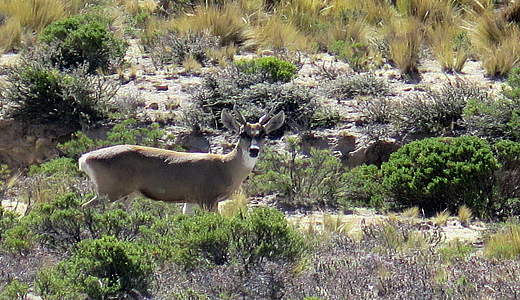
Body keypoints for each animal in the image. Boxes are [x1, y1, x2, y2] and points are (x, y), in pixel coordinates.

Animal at [79, 108, 286, 213]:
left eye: (263, 134)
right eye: (243, 133)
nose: (254, 150)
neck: (225, 167)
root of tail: (85, 158)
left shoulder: (191, 200)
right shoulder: (207, 198)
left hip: (126, 195)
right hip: (109, 191)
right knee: (84, 207)